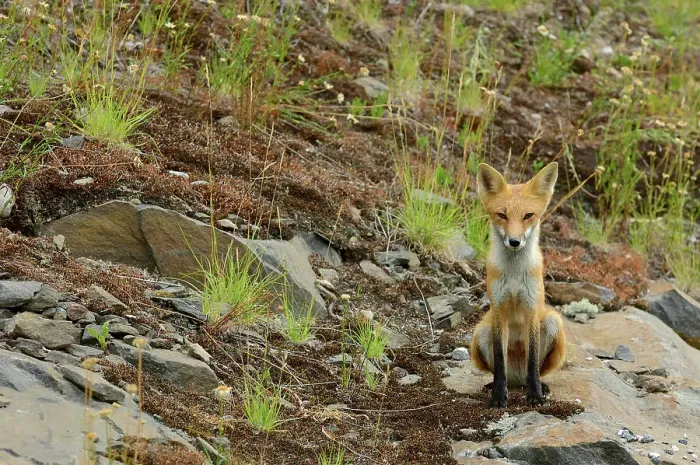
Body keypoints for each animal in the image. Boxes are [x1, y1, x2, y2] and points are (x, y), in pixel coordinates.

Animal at [470, 161, 566, 408]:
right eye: (502, 215)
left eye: (528, 216)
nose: (514, 242)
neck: (513, 276)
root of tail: (517, 380)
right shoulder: (498, 310)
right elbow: (499, 361)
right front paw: (497, 397)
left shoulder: (531, 308)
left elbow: (532, 362)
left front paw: (535, 396)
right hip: (480, 333)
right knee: (501, 371)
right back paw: (494, 386)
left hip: (553, 322)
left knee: (535, 371)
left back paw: (540, 386)